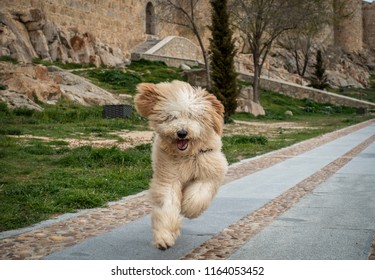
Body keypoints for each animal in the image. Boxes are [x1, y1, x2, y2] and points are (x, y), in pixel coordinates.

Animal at [136, 79, 229, 249]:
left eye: (192, 116)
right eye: (171, 117)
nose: (181, 133)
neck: (187, 156)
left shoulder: (209, 171)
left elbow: (198, 195)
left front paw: (189, 208)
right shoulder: (169, 177)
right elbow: (168, 204)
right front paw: (164, 237)